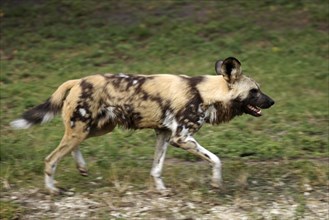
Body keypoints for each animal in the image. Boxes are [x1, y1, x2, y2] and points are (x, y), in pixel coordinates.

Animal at [10, 56, 272, 194]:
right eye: (254, 91)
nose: (272, 101)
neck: (205, 92)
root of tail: (77, 80)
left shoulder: (164, 135)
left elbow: (156, 168)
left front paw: (161, 191)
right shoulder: (181, 138)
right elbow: (216, 159)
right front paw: (217, 182)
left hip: (96, 128)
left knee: (71, 146)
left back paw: (82, 168)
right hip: (83, 128)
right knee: (51, 159)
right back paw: (52, 190)